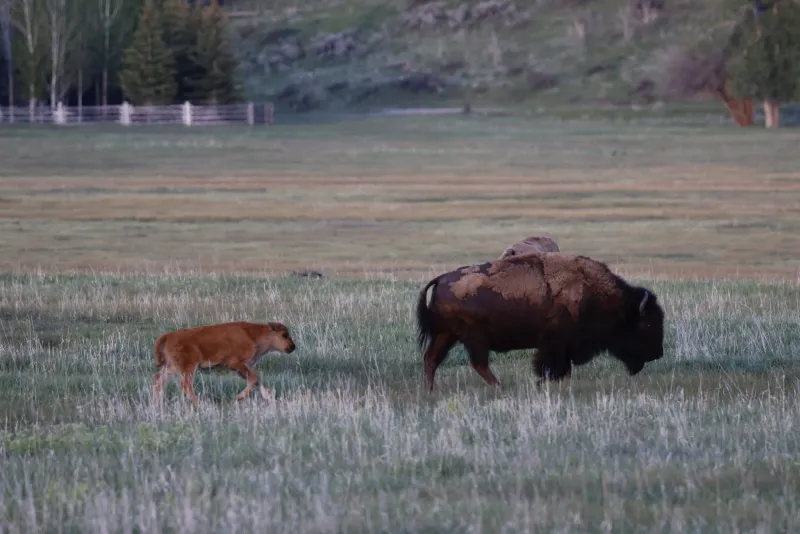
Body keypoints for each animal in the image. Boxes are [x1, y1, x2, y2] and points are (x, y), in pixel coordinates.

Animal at [416, 252, 664, 391]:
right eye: (647, 324)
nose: (658, 353)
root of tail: (440, 279)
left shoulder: (564, 346)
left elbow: (565, 367)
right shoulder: (555, 342)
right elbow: (550, 365)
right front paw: (544, 383)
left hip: (446, 335)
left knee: (431, 359)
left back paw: (429, 390)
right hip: (472, 337)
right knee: (478, 363)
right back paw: (500, 387)